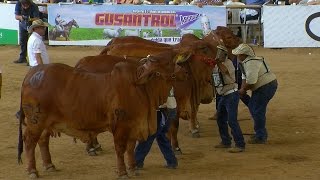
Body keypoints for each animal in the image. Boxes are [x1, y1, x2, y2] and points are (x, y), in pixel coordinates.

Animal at [17, 51, 186, 179]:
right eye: (169, 62)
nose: (183, 71)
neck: (141, 87)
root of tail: (32, 73)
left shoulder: (134, 125)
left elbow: (131, 148)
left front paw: (132, 168)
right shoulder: (121, 126)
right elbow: (120, 149)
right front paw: (122, 172)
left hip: (47, 123)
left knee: (43, 141)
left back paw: (49, 165)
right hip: (36, 122)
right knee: (29, 142)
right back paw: (32, 170)